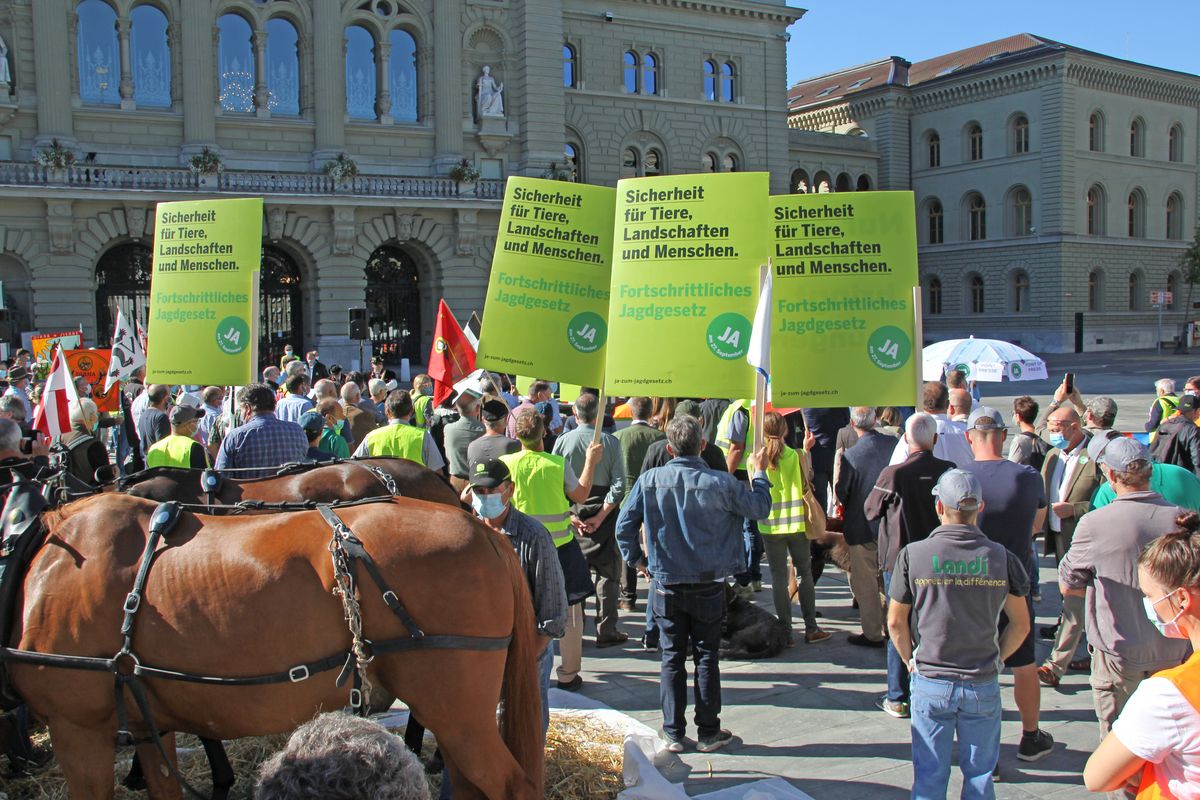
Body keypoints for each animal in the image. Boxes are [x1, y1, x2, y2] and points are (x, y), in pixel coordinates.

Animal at [7, 494, 542, 800]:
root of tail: (484, 530)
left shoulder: (78, 729)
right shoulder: (145, 727)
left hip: (457, 711)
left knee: (511, 785)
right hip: (451, 715)